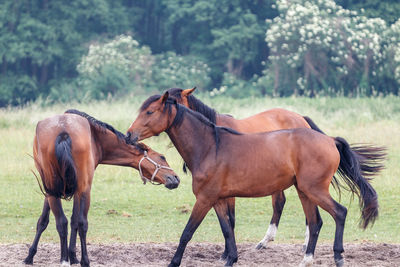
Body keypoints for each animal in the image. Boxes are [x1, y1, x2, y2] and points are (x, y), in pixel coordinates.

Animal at [24, 109, 180, 267]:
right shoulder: (76, 190)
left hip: (55, 190)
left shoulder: (53, 191)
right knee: (81, 223)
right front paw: (71, 257)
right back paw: (84, 261)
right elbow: (69, 221)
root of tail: (63, 131)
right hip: (83, 189)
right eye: (162, 157)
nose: (175, 178)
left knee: (62, 222)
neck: (96, 138)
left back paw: (64, 259)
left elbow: (49, 221)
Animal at [126, 91, 386, 266]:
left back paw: (337, 257)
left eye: (149, 112)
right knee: (315, 223)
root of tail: (330, 140)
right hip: (304, 191)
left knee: (339, 213)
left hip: (315, 190)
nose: (129, 135)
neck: (210, 146)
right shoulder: (218, 200)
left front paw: (174, 262)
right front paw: (230, 259)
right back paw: (305, 260)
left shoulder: (205, 199)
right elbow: (227, 230)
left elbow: (187, 233)